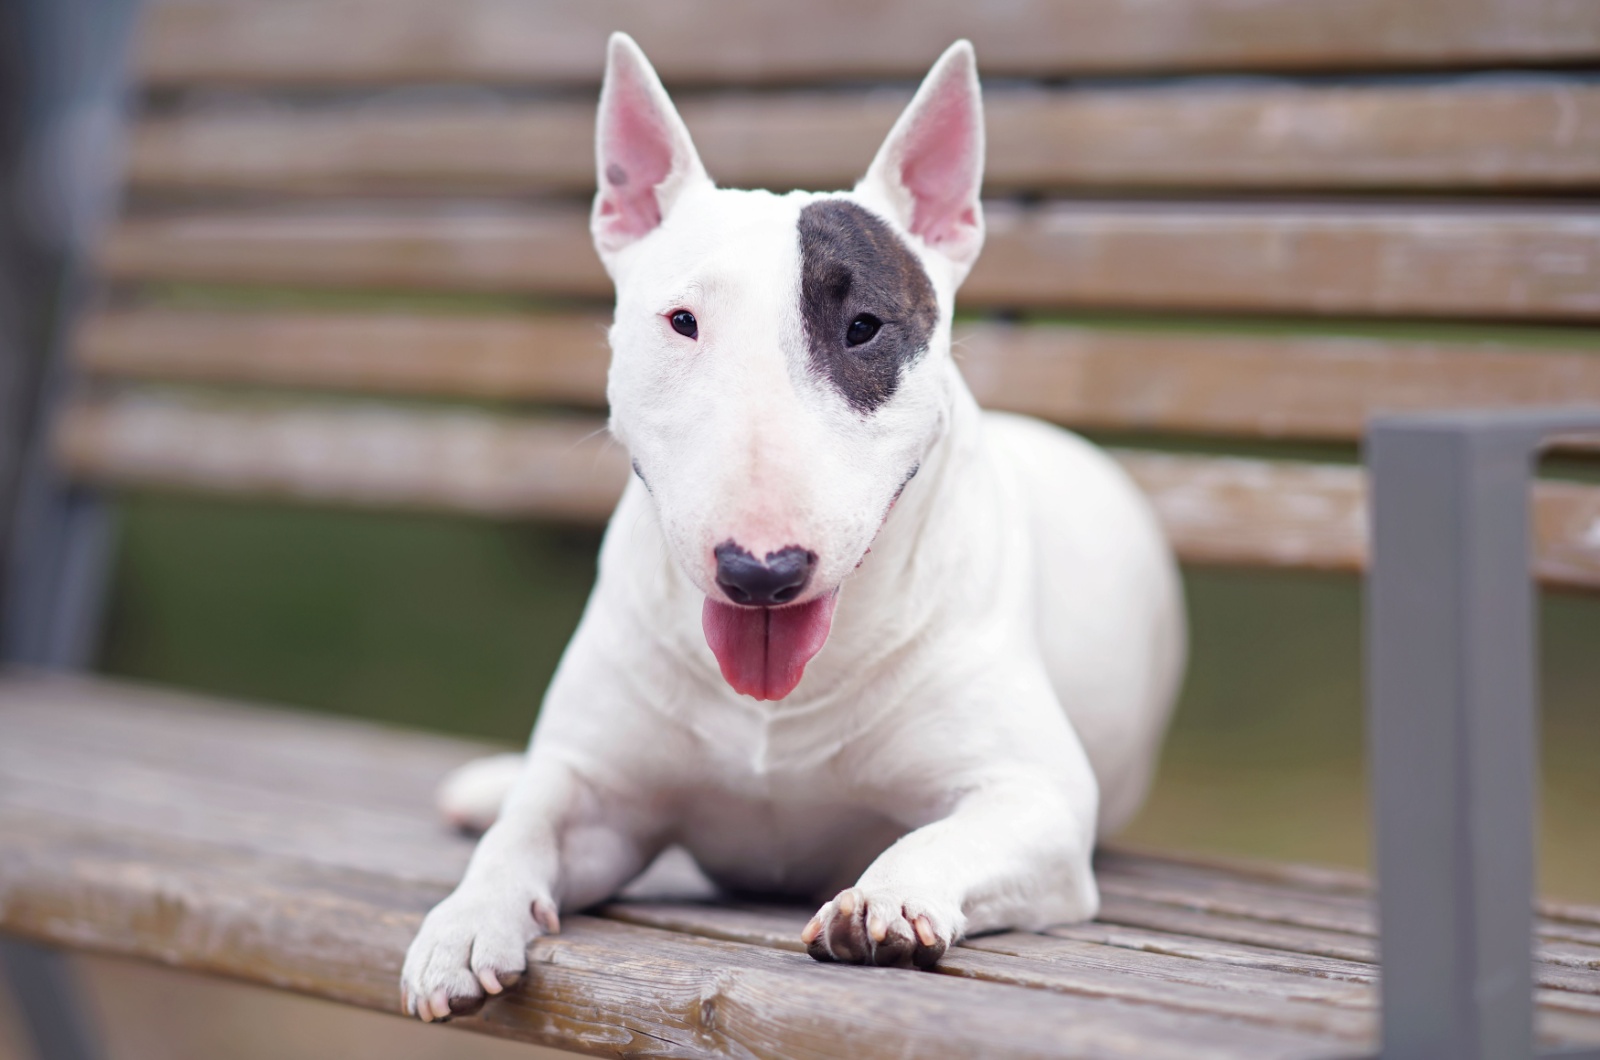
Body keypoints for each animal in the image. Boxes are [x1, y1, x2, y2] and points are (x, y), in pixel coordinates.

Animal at [396, 33, 1190, 1024]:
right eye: (682, 321)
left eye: (864, 327)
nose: (761, 573)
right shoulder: (598, 797)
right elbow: (529, 827)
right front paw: (463, 924)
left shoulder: (1038, 796)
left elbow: (949, 835)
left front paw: (885, 898)